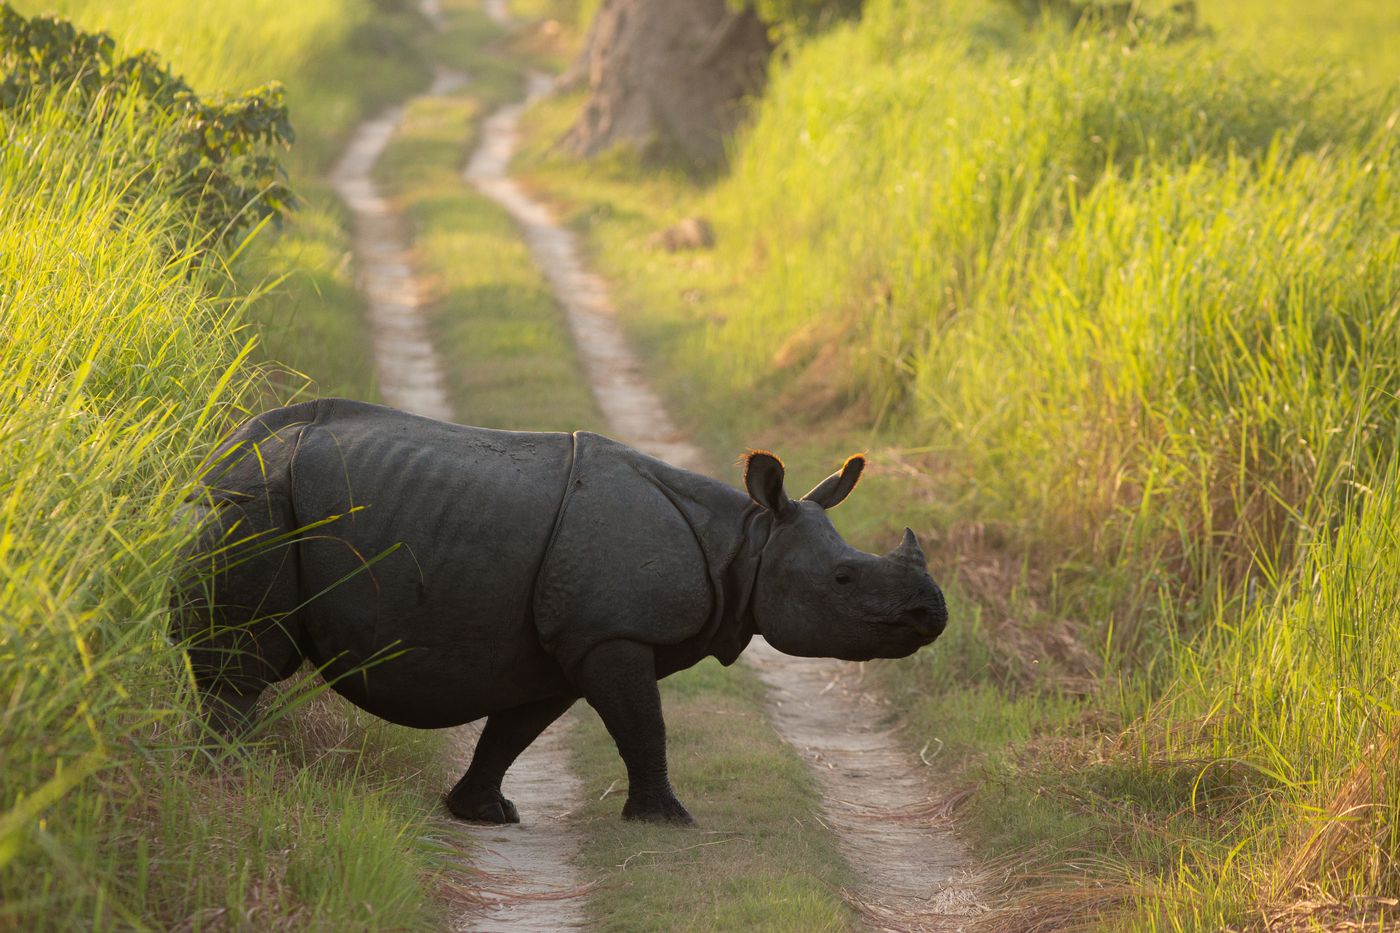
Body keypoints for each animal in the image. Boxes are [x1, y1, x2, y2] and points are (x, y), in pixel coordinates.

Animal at [171, 399, 947, 825]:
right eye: (844, 577)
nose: (932, 613)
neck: (746, 542)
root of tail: (217, 452)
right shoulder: (611, 631)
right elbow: (643, 728)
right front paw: (669, 821)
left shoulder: (564, 644)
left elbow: (514, 731)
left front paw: (482, 813)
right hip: (258, 502)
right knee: (243, 661)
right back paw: (225, 772)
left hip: (256, 494)